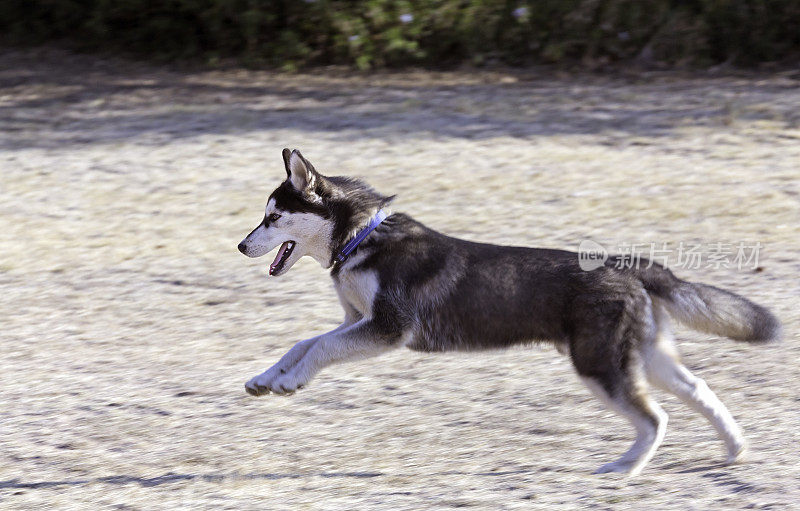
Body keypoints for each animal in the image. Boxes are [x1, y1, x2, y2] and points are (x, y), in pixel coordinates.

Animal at [238, 148, 780, 476]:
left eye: (273, 217)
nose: (241, 246)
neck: (361, 238)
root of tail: (630, 266)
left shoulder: (386, 329)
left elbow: (321, 348)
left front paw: (289, 382)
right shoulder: (356, 322)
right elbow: (305, 343)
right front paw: (268, 378)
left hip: (598, 364)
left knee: (655, 417)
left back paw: (624, 468)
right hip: (646, 357)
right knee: (699, 390)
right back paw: (734, 447)